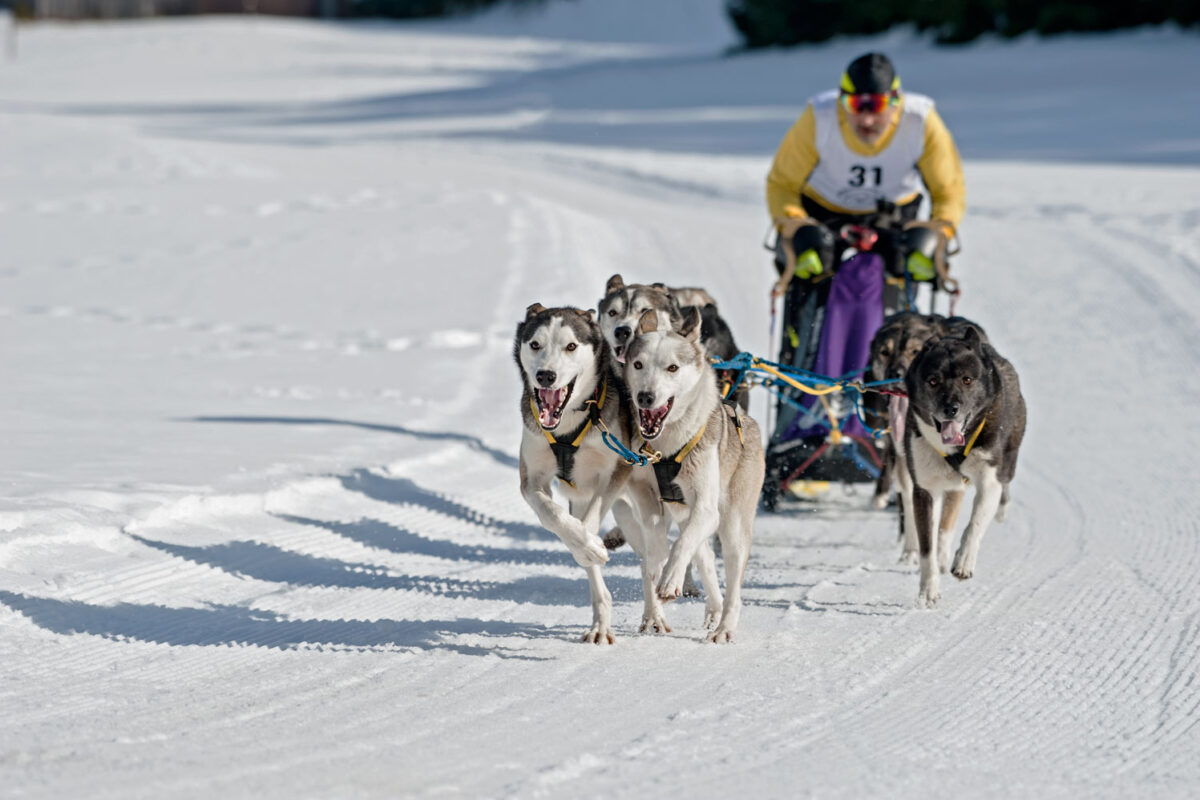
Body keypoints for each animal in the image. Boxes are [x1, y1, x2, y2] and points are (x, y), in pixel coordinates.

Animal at [520, 302, 638, 642]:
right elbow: (553, 516)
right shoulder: (532, 479)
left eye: (571, 346)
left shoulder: (615, 470)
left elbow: (590, 520)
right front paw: (585, 547)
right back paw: (601, 623)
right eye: (535, 344)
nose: (546, 376)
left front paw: (590, 543)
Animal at [624, 307, 763, 642]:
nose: (645, 396)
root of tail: (747, 420)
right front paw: (656, 579)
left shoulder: (706, 508)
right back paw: (712, 609)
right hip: (688, 515)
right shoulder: (644, 495)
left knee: (731, 583)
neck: (666, 448)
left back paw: (724, 627)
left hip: (732, 526)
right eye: (638, 364)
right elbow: (656, 545)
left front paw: (670, 580)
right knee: (706, 559)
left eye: (672, 367)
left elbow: (680, 545)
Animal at [902, 326, 1027, 606]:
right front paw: (929, 589)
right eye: (933, 381)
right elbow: (927, 546)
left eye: (967, 380)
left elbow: (975, 525)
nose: (951, 408)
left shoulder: (989, 480)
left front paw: (964, 562)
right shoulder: (924, 490)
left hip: (1008, 460)